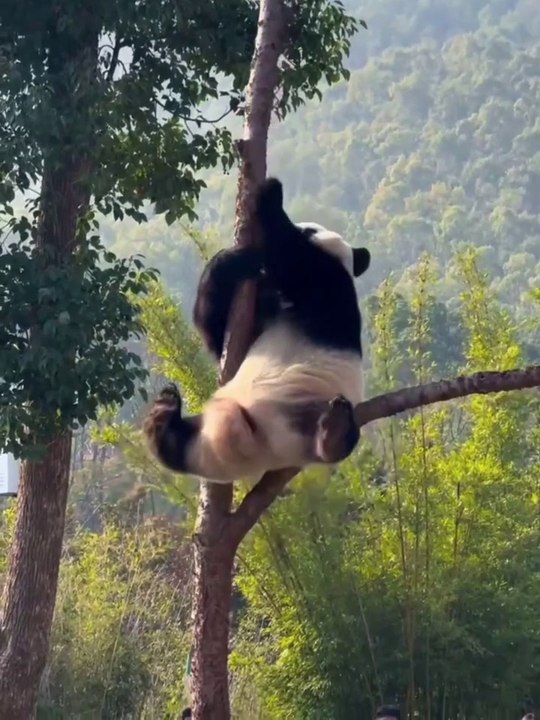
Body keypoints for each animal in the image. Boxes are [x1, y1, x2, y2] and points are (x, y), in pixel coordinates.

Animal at [143, 178, 371, 483]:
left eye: (310, 229)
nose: (304, 224)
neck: (341, 263)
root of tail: (260, 449)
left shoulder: (321, 277)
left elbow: (287, 250)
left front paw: (271, 190)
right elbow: (216, 333)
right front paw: (234, 260)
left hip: (310, 413)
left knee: (340, 444)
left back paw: (334, 430)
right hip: (207, 436)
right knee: (177, 443)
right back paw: (163, 409)